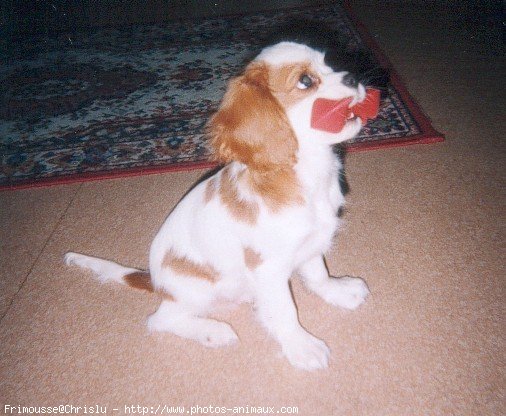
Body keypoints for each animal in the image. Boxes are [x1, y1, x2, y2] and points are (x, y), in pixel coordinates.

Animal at [64, 41, 372, 370]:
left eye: (329, 64)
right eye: (305, 81)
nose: (353, 77)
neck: (308, 171)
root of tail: (156, 282)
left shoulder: (311, 241)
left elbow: (317, 274)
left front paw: (338, 291)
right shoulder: (268, 267)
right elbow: (285, 311)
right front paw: (301, 346)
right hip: (198, 291)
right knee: (159, 320)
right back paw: (212, 332)